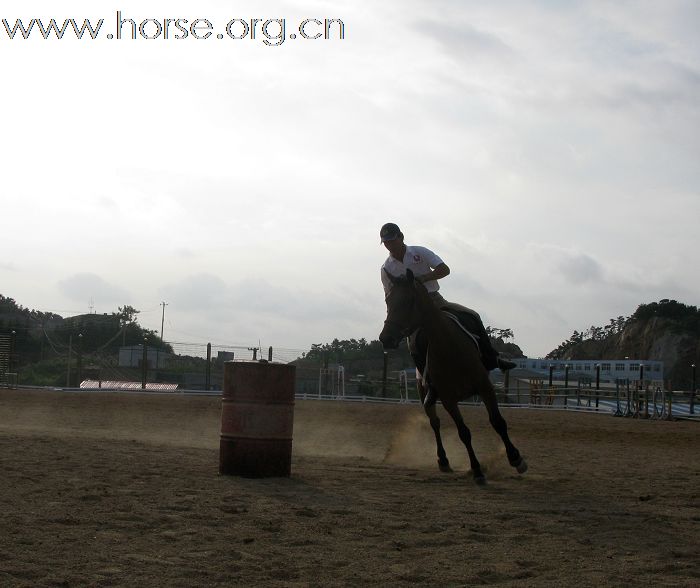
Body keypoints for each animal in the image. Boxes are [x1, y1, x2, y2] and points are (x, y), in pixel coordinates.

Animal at [380, 268, 528, 484]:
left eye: (408, 301)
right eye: (388, 301)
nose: (386, 338)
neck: (450, 348)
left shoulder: (485, 388)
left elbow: (498, 422)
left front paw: (516, 459)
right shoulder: (448, 399)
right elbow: (463, 432)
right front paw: (476, 470)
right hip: (425, 393)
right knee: (434, 423)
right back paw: (443, 460)